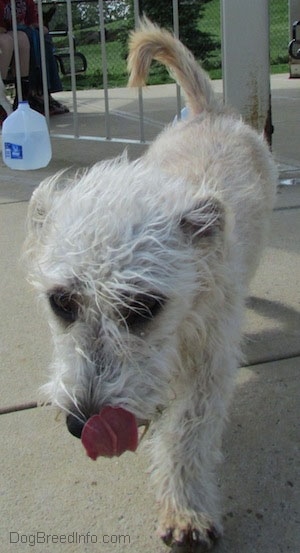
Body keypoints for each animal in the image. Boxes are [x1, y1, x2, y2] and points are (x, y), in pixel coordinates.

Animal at [24, 19, 278, 552]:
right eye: (61, 302)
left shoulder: (209, 364)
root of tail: (209, 111)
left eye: (144, 306)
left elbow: (186, 434)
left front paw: (185, 511)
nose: (82, 423)